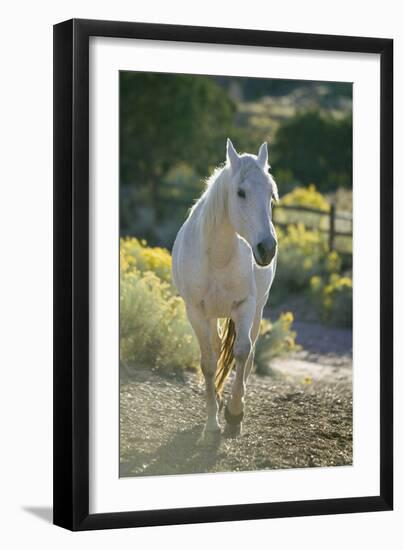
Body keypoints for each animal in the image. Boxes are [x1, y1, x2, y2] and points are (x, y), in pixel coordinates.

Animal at [172, 139, 280, 444]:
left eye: (271, 194)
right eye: (240, 193)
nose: (267, 248)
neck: (217, 256)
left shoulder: (245, 306)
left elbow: (242, 352)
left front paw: (233, 416)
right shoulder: (196, 312)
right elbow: (209, 362)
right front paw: (211, 426)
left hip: (257, 309)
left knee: (249, 352)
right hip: (212, 316)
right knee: (218, 346)